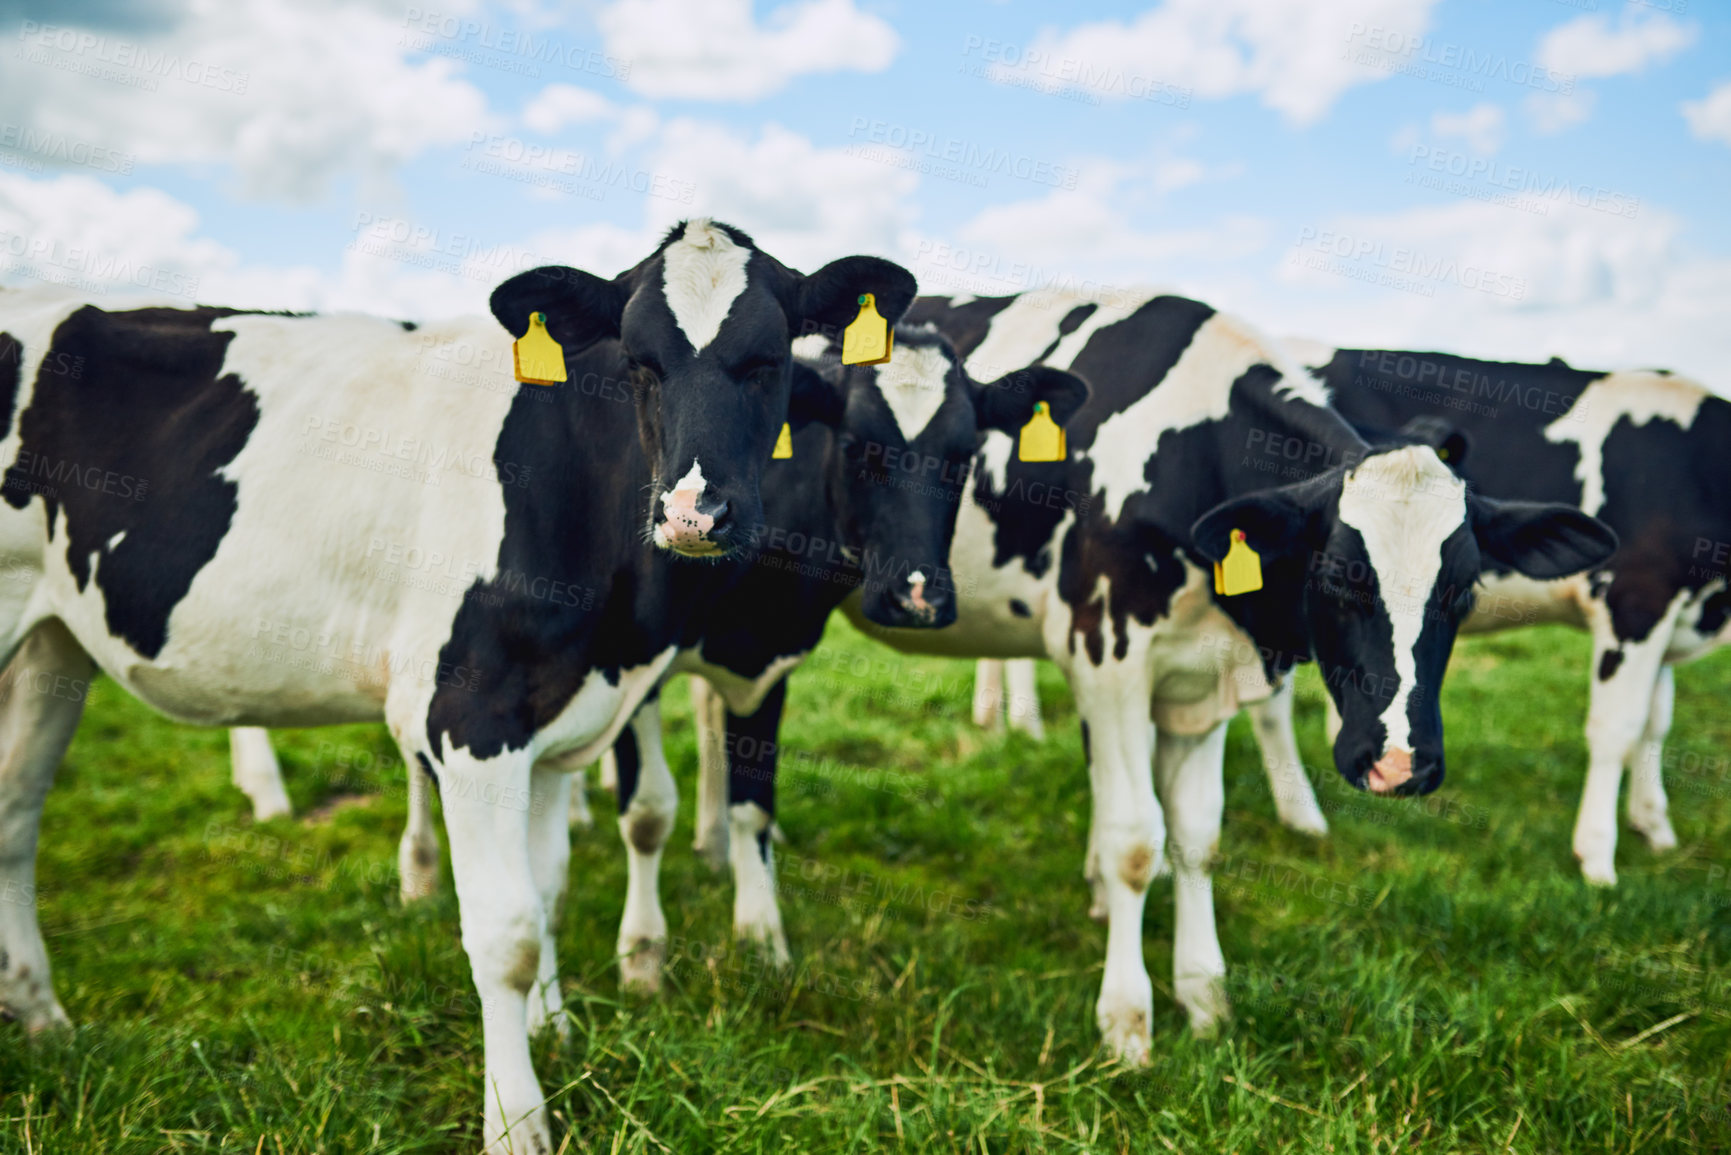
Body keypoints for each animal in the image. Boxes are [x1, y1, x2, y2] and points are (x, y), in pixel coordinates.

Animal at [0, 219, 927, 1155]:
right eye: (638, 359)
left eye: (769, 355)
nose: (693, 513)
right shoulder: (474, 715)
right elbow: (506, 931)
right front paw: (516, 1118)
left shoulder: (559, 720)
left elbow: (547, 890)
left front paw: (555, 1030)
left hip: (52, 644)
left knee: (13, 812)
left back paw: (41, 1017)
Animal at [637, 290, 1620, 1066]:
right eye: (1342, 575)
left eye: (1463, 586)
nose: (1398, 762)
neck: (1190, 449)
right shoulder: (1106, 654)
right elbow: (1134, 840)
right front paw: (1128, 1020)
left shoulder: (1204, 675)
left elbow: (1197, 836)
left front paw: (1204, 994)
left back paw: (710, 840)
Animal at [1232, 342, 1731, 886]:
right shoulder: (1637, 600)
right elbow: (1617, 729)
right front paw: (1598, 858)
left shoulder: (1670, 619)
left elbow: (1655, 723)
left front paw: (1654, 827)